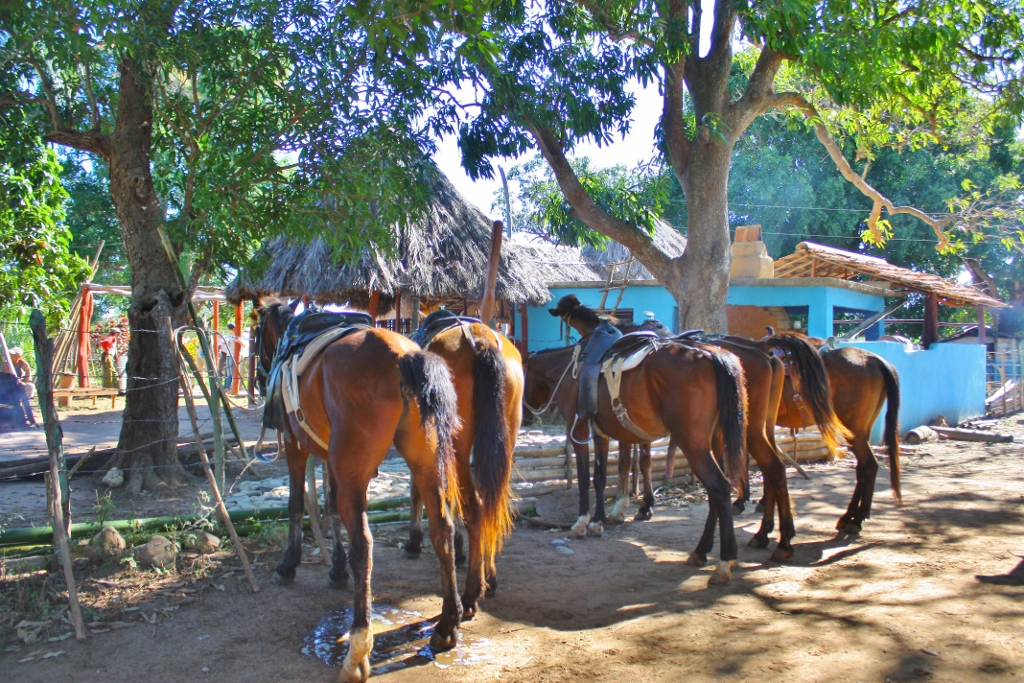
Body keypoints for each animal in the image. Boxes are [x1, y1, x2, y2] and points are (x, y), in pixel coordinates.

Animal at [254, 300, 463, 682]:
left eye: (257, 334)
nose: (260, 378)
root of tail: (405, 356)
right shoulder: (330, 459)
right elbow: (330, 507)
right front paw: (335, 568)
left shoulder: (296, 446)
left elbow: (296, 504)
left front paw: (289, 564)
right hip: (425, 463)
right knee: (442, 529)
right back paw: (446, 624)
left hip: (355, 470)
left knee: (363, 545)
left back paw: (357, 649)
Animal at [404, 312, 524, 619]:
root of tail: (483, 342)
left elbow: (422, 491)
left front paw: (416, 540)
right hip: (503, 443)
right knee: (493, 504)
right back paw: (488, 578)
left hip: (458, 444)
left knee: (476, 507)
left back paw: (471, 593)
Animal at [543, 295, 749, 585]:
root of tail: (712, 355)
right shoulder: (610, 432)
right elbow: (617, 470)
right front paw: (609, 517)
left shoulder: (582, 431)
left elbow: (589, 476)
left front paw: (585, 523)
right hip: (715, 441)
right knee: (717, 490)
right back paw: (701, 551)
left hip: (693, 443)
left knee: (718, 487)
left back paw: (723, 562)